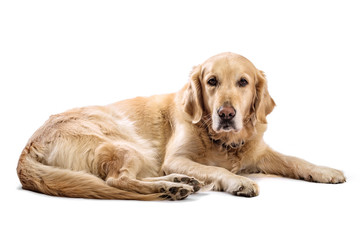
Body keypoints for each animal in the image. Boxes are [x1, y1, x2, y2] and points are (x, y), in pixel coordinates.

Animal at [17, 53, 346, 201]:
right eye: (212, 81)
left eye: (243, 82)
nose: (226, 114)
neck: (220, 139)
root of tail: (28, 145)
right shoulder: (175, 156)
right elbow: (215, 169)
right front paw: (238, 181)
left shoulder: (259, 153)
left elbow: (295, 160)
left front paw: (326, 171)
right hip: (129, 143)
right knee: (116, 180)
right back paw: (171, 187)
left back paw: (180, 182)